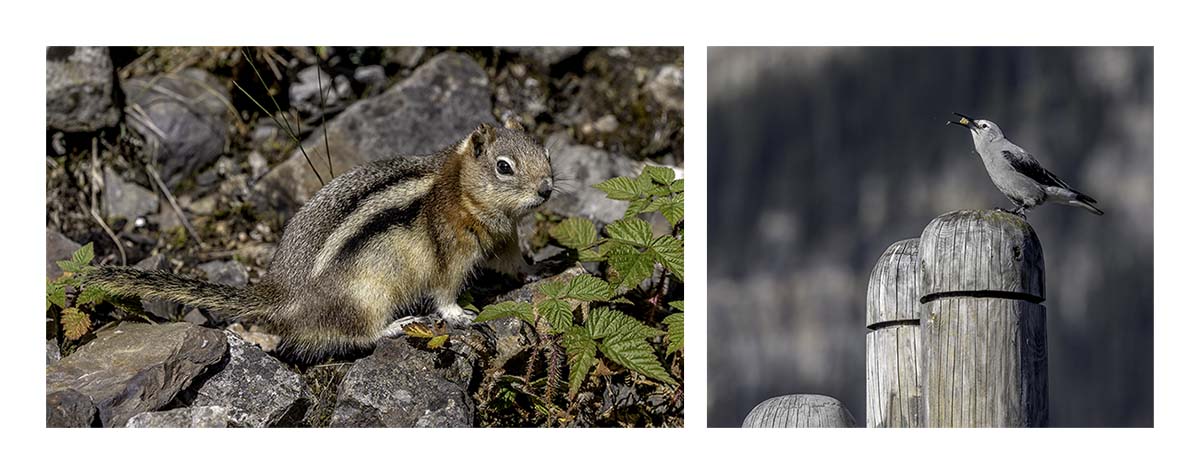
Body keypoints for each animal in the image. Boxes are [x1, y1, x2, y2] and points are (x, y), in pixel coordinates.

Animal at [90, 120, 556, 362]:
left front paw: (542, 267)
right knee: (357, 335)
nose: (547, 190)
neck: (460, 189)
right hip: (366, 296)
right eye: (504, 167)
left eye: (546, 152)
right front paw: (460, 315)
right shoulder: (451, 255)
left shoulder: (506, 237)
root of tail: (281, 295)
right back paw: (395, 326)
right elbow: (444, 292)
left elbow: (515, 262)